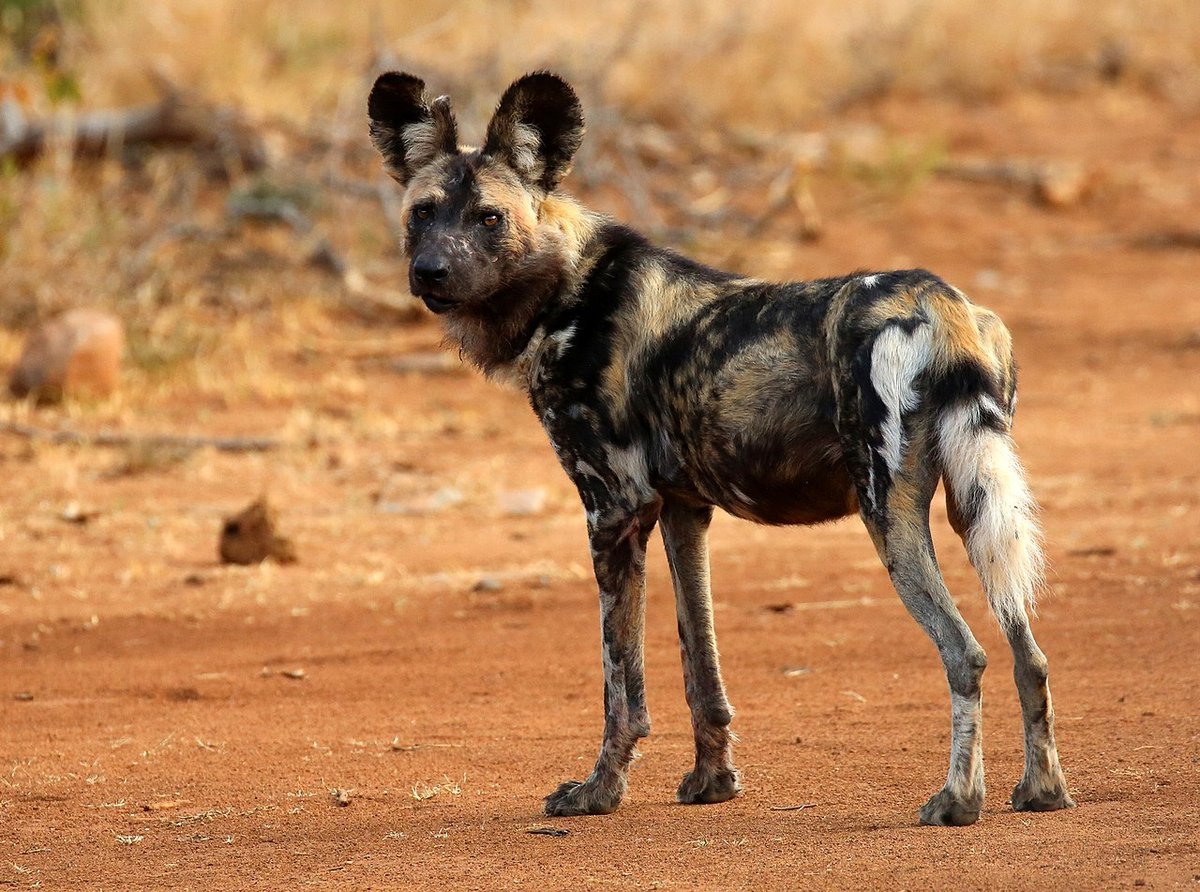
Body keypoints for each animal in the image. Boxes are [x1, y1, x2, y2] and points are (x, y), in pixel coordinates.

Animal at [367, 71, 1080, 830]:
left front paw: (598, 792)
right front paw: (713, 781)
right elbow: (699, 667)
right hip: (975, 511)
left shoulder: (613, 513)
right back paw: (1041, 791)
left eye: (490, 219)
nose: (430, 271)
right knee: (1030, 656)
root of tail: (942, 302)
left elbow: (621, 686)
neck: (567, 293)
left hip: (887, 513)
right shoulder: (683, 514)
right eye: (423, 213)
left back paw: (957, 800)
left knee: (966, 655)